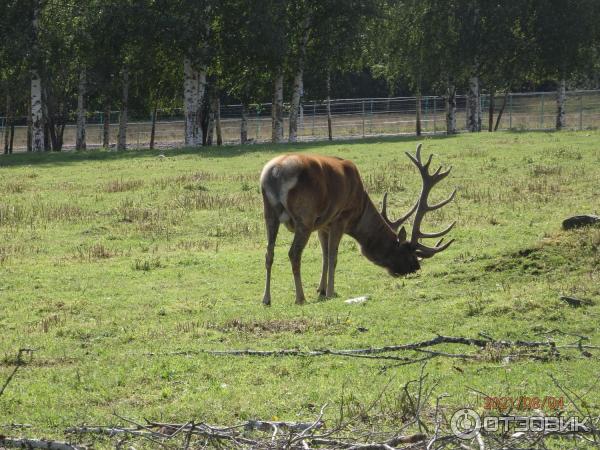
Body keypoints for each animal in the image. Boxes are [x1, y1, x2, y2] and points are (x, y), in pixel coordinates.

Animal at [258, 144, 454, 306]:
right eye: (407, 254)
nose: (416, 269)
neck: (359, 212)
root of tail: (274, 173)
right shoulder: (340, 218)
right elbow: (333, 257)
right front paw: (330, 292)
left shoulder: (323, 224)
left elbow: (324, 256)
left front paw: (321, 289)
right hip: (304, 216)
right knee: (293, 253)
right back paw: (300, 298)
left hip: (269, 212)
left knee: (269, 253)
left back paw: (266, 298)